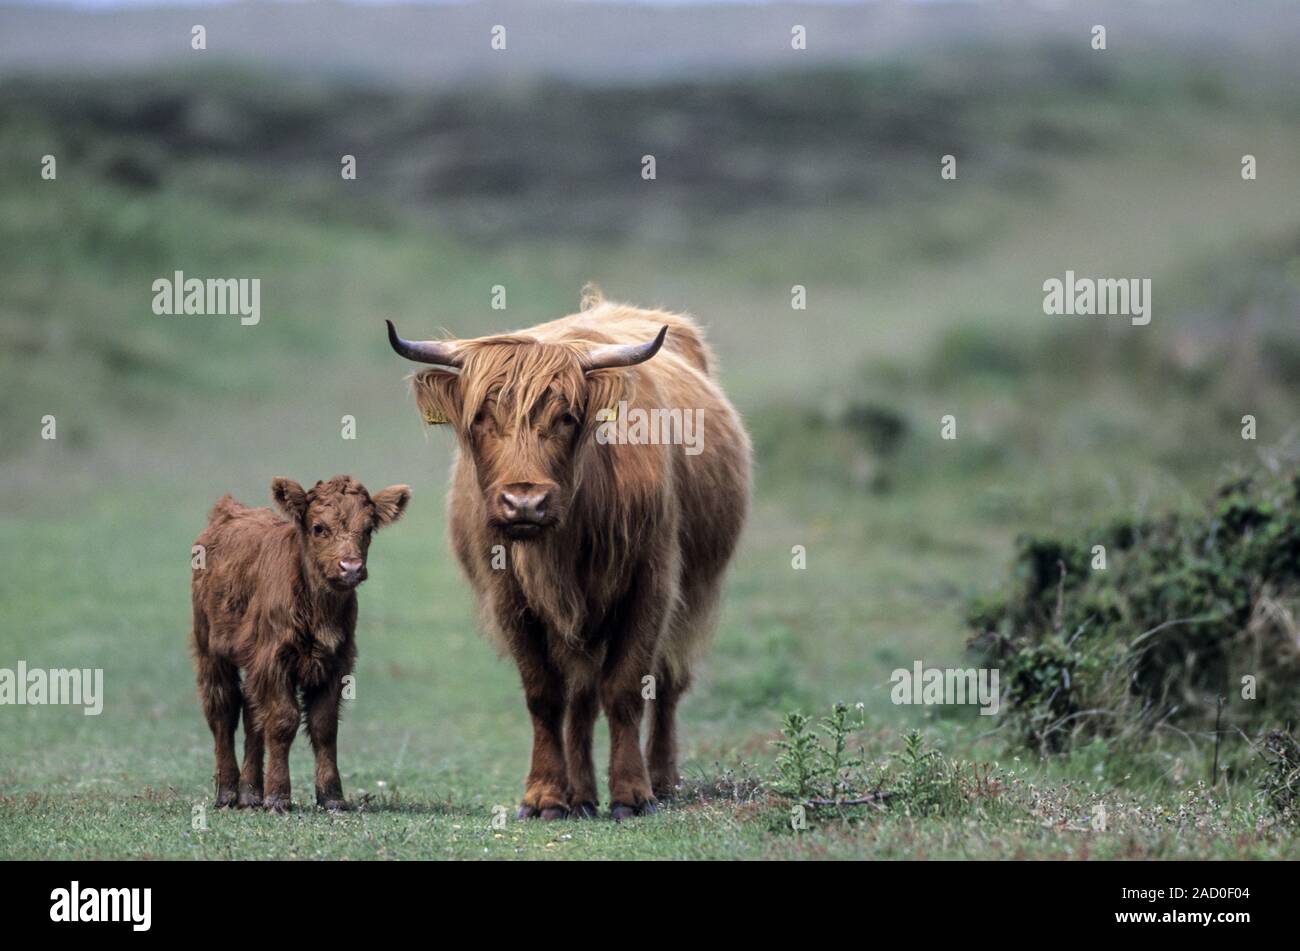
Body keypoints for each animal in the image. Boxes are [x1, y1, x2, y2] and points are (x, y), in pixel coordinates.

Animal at [188, 475, 408, 810]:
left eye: (369, 529)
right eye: (318, 527)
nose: (351, 567)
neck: (319, 611)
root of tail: (228, 511)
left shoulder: (336, 663)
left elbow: (323, 725)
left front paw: (332, 797)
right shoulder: (273, 660)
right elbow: (283, 720)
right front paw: (278, 796)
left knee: (252, 713)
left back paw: (250, 793)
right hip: (211, 651)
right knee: (223, 710)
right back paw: (227, 793)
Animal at [387, 288, 754, 815]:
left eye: (566, 418)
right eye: (481, 417)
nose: (524, 502)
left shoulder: (652, 585)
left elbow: (626, 687)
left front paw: (632, 794)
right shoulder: (510, 598)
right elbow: (544, 694)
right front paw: (544, 795)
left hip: (693, 595)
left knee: (667, 682)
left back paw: (662, 780)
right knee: (581, 696)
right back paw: (579, 794)